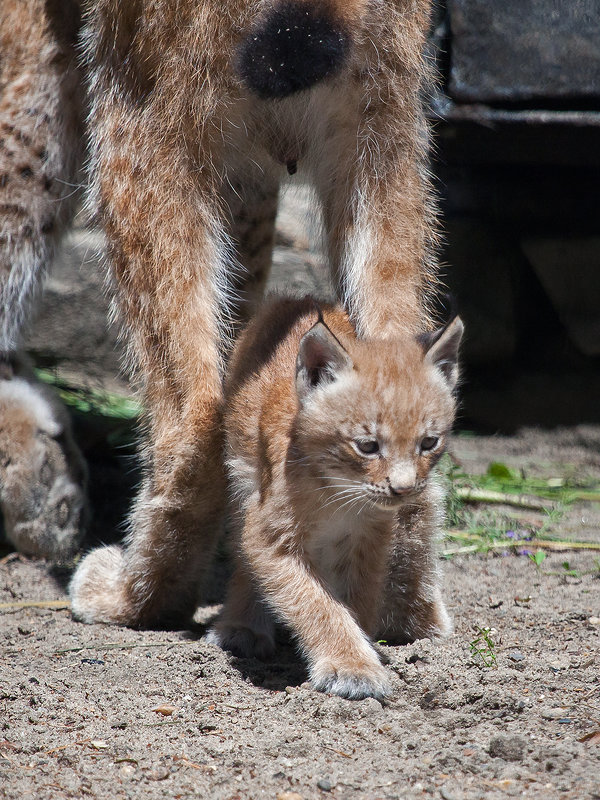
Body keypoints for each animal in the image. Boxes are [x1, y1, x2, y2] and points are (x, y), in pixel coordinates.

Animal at [207, 296, 464, 696]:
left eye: (428, 443)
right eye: (367, 447)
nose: (403, 488)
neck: (341, 492)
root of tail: (301, 299)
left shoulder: (369, 536)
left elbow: (356, 598)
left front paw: (363, 647)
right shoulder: (269, 535)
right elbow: (317, 604)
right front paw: (352, 667)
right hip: (242, 478)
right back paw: (242, 627)